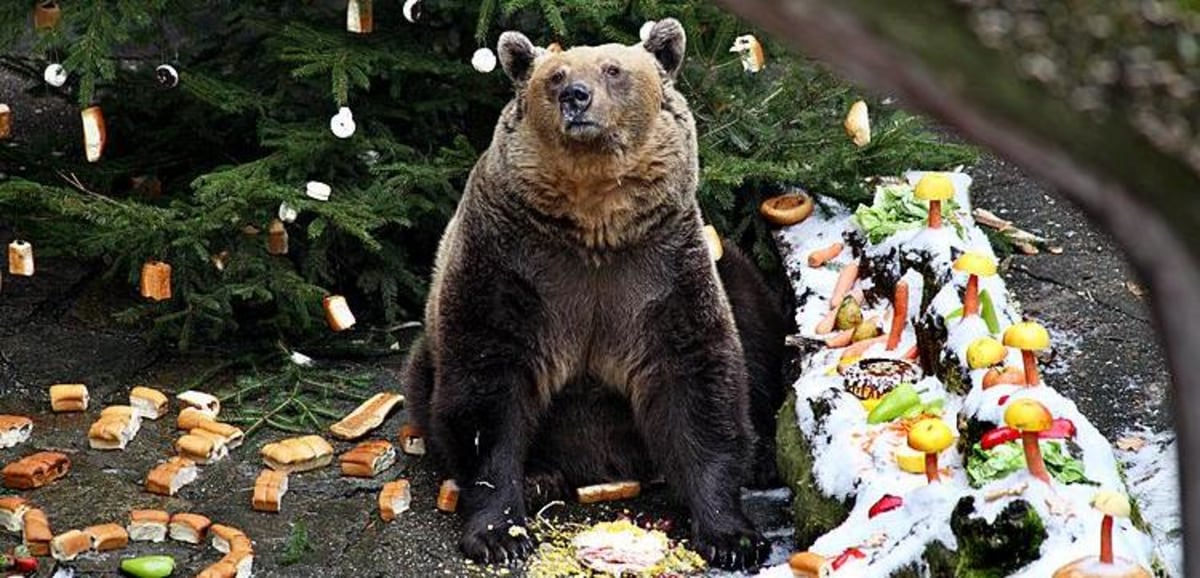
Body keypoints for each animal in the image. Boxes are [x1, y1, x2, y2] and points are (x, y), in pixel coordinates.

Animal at [400, 19, 786, 570]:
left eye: (613, 69)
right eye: (555, 76)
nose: (576, 97)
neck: (594, 221)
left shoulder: (658, 267)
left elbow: (697, 378)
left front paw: (732, 536)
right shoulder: (511, 263)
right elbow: (487, 387)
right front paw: (501, 534)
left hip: (730, 264)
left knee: (757, 337)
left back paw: (764, 460)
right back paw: (540, 478)